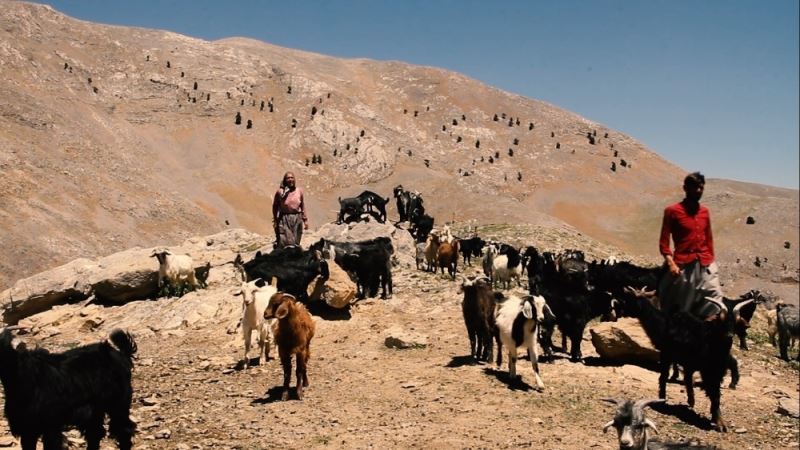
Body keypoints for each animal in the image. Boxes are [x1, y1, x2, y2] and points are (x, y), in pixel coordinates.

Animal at [0, 326, 138, 450]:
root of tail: (121, 354)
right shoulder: (28, 429)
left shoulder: (50, 425)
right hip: (96, 410)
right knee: (95, 433)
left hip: (119, 402)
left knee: (124, 429)